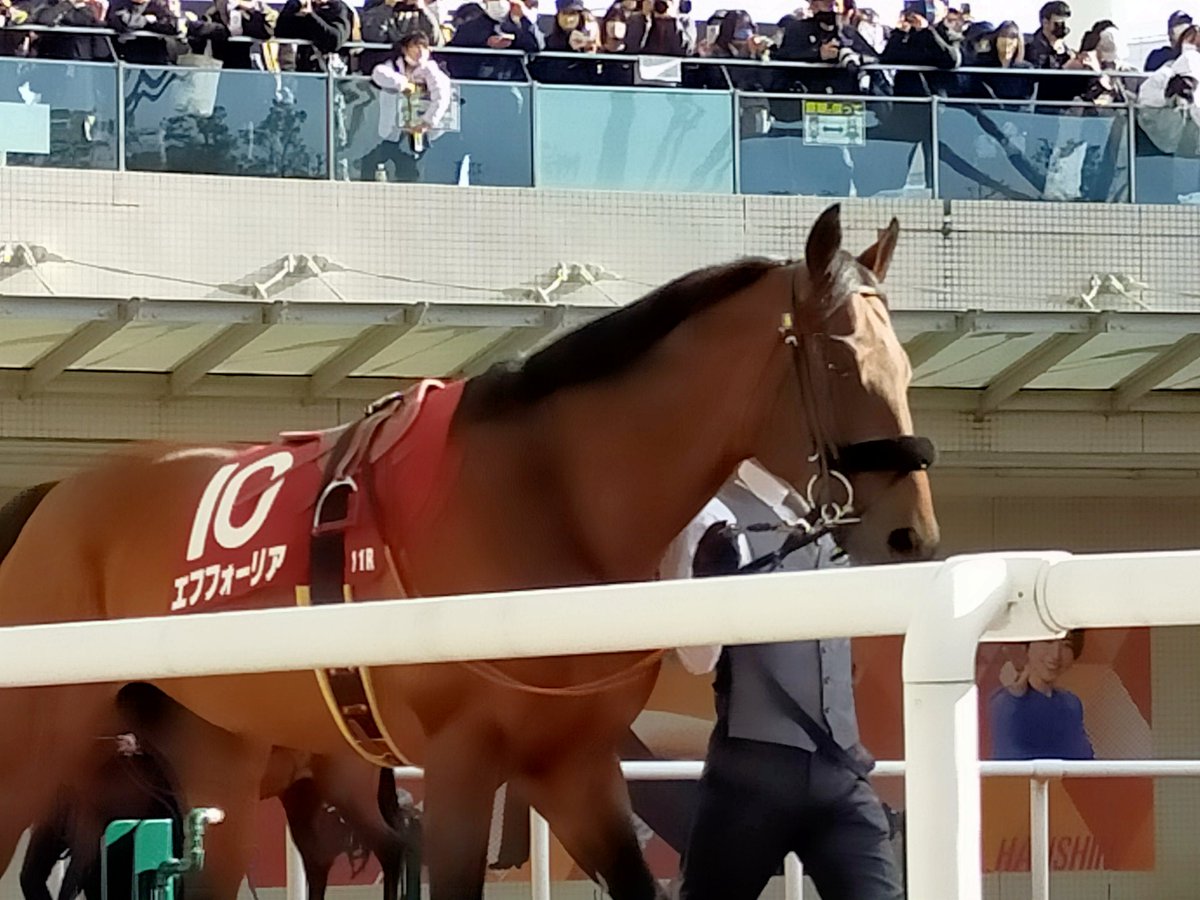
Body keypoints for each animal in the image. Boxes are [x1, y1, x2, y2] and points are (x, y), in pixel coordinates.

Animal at [0, 204, 939, 900]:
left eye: (904, 365)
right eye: (841, 360)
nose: (912, 534)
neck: (545, 493)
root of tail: (54, 496)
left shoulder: (572, 766)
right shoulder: (460, 761)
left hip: (219, 755)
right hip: (40, 738)